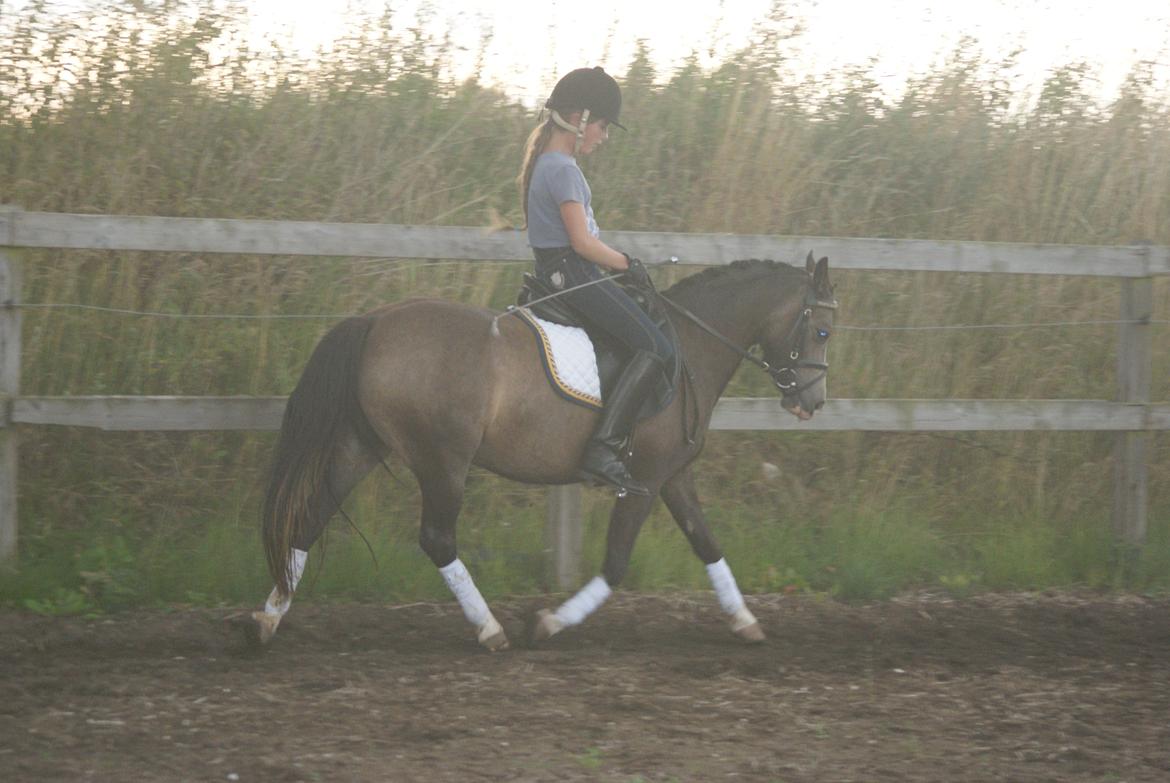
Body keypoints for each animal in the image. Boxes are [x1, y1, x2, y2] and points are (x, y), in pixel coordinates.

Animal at [246, 252, 836, 651]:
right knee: (436, 539)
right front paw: (549, 623)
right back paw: (490, 629)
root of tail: (375, 320)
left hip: (361, 445)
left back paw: (268, 620)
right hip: (442, 459)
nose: (812, 401)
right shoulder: (644, 479)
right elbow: (616, 563)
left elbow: (707, 544)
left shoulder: (672, 477)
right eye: (824, 331)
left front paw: (746, 622)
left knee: (311, 517)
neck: (689, 347)